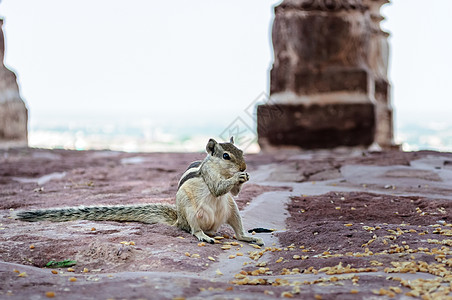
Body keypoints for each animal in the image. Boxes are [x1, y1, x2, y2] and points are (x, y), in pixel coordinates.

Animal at [15, 138, 264, 246]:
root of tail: (179, 220)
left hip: (232, 209)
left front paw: (244, 178)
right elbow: (217, 188)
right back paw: (202, 235)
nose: (244, 167)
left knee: (237, 228)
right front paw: (237, 178)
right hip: (191, 211)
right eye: (226, 156)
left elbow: (234, 193)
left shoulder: (233, 196)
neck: (218, 169)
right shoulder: (210, 176)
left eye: (241, 151)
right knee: (193, 230)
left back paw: (248, 237)